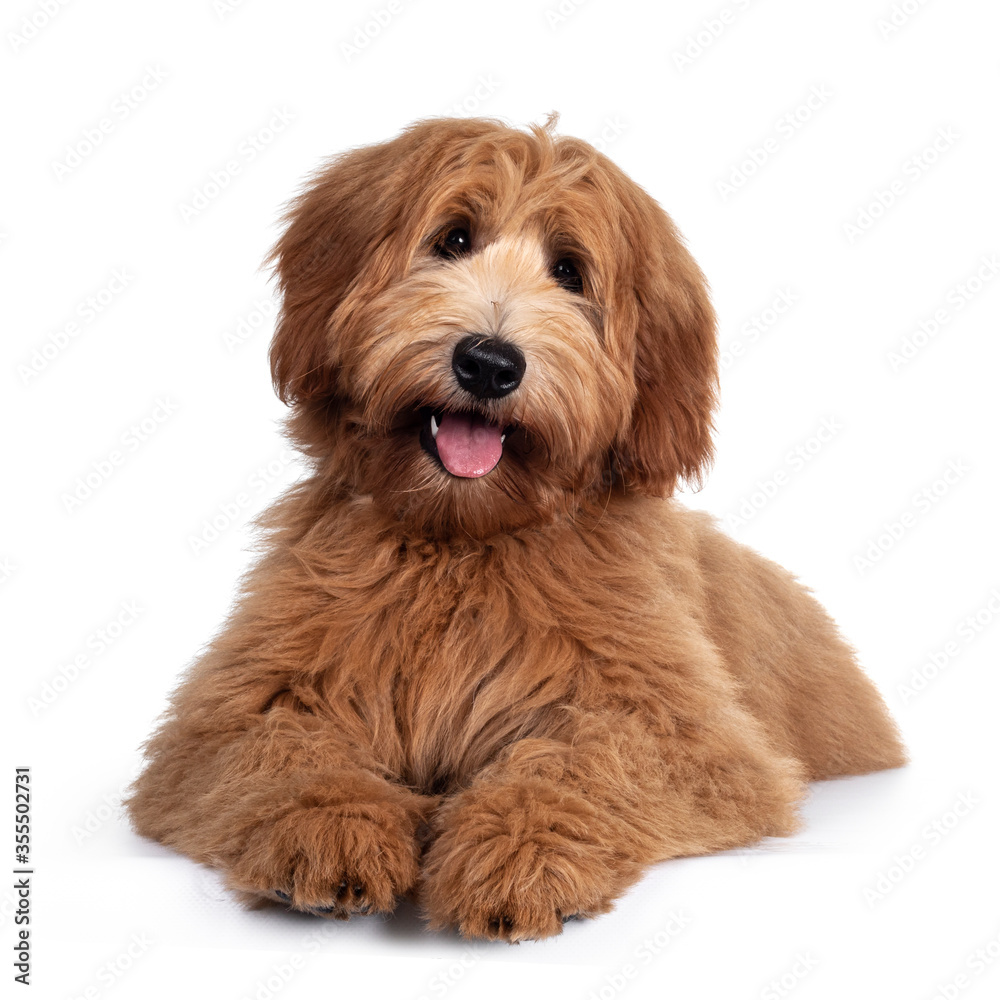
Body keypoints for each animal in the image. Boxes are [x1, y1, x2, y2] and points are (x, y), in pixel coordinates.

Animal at [127, 119, 908, 944]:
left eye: (570, 271)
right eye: (452, 238)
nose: (489, 362)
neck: (462, 542)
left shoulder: (687, 735)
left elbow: (577, 762)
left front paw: (516, 854)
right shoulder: (226, 718)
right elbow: (290, 752)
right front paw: (329, 828)